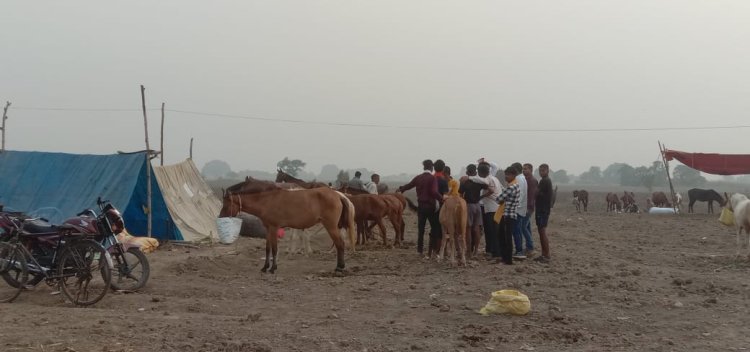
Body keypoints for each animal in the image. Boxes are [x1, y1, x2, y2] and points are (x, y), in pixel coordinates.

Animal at [219, 186, 356, 274]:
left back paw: (339, 267)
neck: (267, 201)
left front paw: (273, 268)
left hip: (331, 226)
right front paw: (265, 267)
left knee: (340, 244)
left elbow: (274, 249)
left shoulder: (274, 228)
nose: (220, 217)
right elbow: (268, 249)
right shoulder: (268, 229)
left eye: (225, 205)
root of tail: (338, 195)